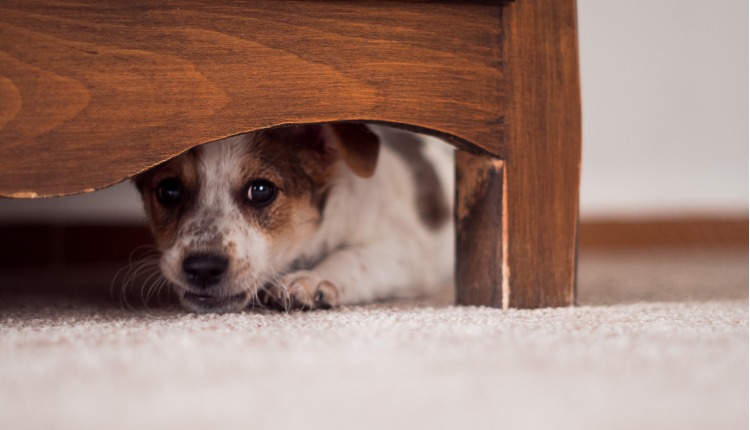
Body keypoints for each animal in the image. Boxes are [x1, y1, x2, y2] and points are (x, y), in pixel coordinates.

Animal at [134, 123, 458, 312]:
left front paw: (312, 279)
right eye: (168, 190)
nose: (202, 268)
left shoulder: (406, 251)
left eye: (261, 190)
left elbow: (354, 256)